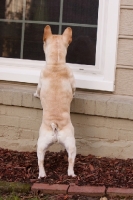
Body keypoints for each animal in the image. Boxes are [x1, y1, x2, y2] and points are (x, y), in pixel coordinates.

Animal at [33, 25, 76, 178]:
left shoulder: (39, 82)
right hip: (69, 145)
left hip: (42, 145)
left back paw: (42, 175)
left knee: (40, 161)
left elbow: (37, 90)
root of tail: (55, 126)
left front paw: (35, 95)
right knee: (70, 160)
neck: (56, 63)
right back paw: (69, 174)